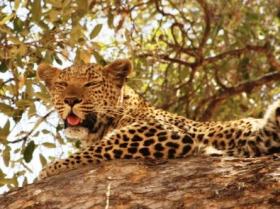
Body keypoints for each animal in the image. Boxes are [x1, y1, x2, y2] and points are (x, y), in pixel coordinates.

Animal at [36, 58, 280, 178]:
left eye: (91, 84)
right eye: (62, 84)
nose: (71, 100)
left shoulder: (163, 131)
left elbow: (101, 147)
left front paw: (52, 168)